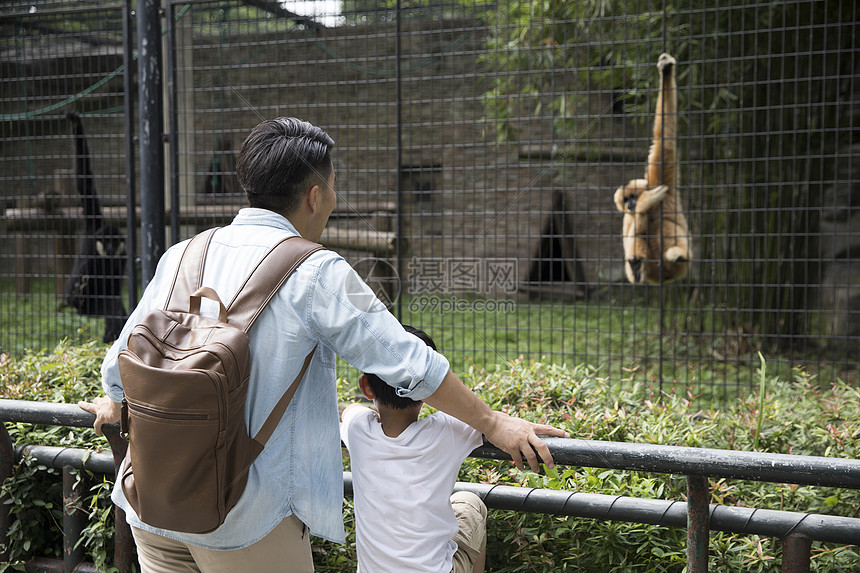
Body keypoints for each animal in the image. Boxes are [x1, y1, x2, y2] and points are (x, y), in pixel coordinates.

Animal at [63, 111, 127, 340]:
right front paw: (76, 124)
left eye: (113, 243)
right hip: (85, 307)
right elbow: (85, 182)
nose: (108, 248)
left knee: (114, 302)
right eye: (105, 241)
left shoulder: (122, 254)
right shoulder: (93, 226)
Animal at [612, 53, 692, 284]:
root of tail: (664, 277)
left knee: (664, 226)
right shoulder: (627, 217)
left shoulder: (662, 177)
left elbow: (664, 140)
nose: (631, 205)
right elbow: (631, 231)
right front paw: (644, 205)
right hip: (653, 270)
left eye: (632, 197)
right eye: (625, 200)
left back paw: (678, 255)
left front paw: (666, 72)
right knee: (638, 234)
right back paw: (637, 268)